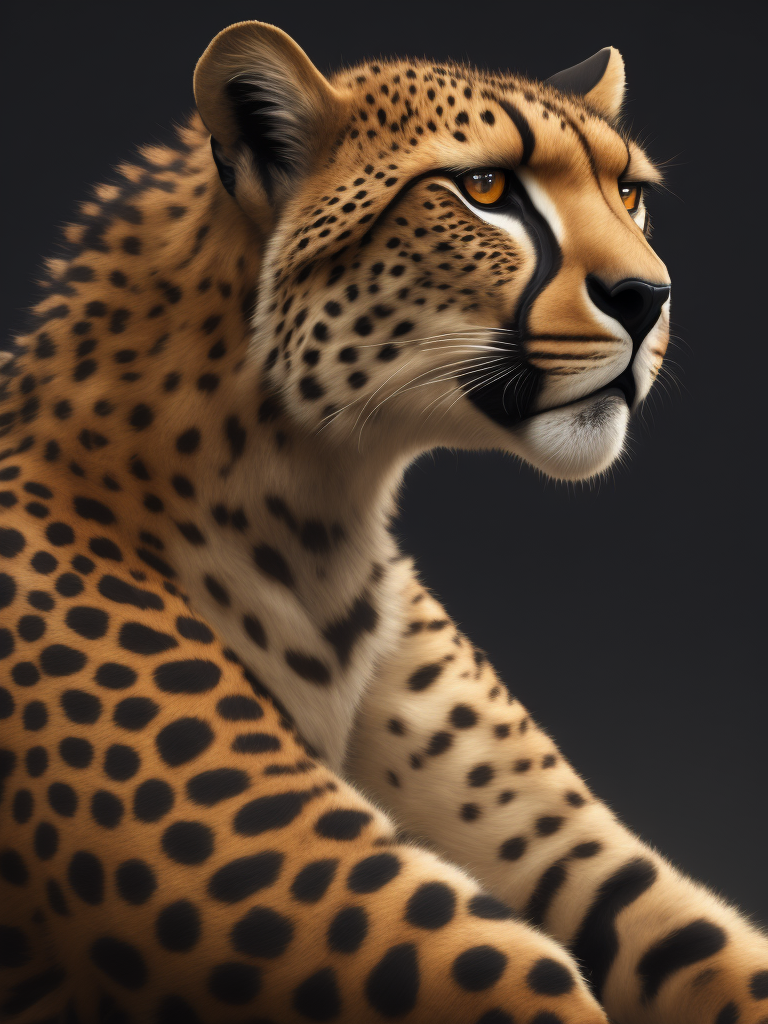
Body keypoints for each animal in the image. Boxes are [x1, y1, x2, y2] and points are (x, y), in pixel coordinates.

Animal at [0, 18, 766, 1024]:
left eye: (628, 193)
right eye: (487, 190)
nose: (650, 297)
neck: (319, 501)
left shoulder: (578, 859)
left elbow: (711, 948)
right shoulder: (337, 895)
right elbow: (524, 974)